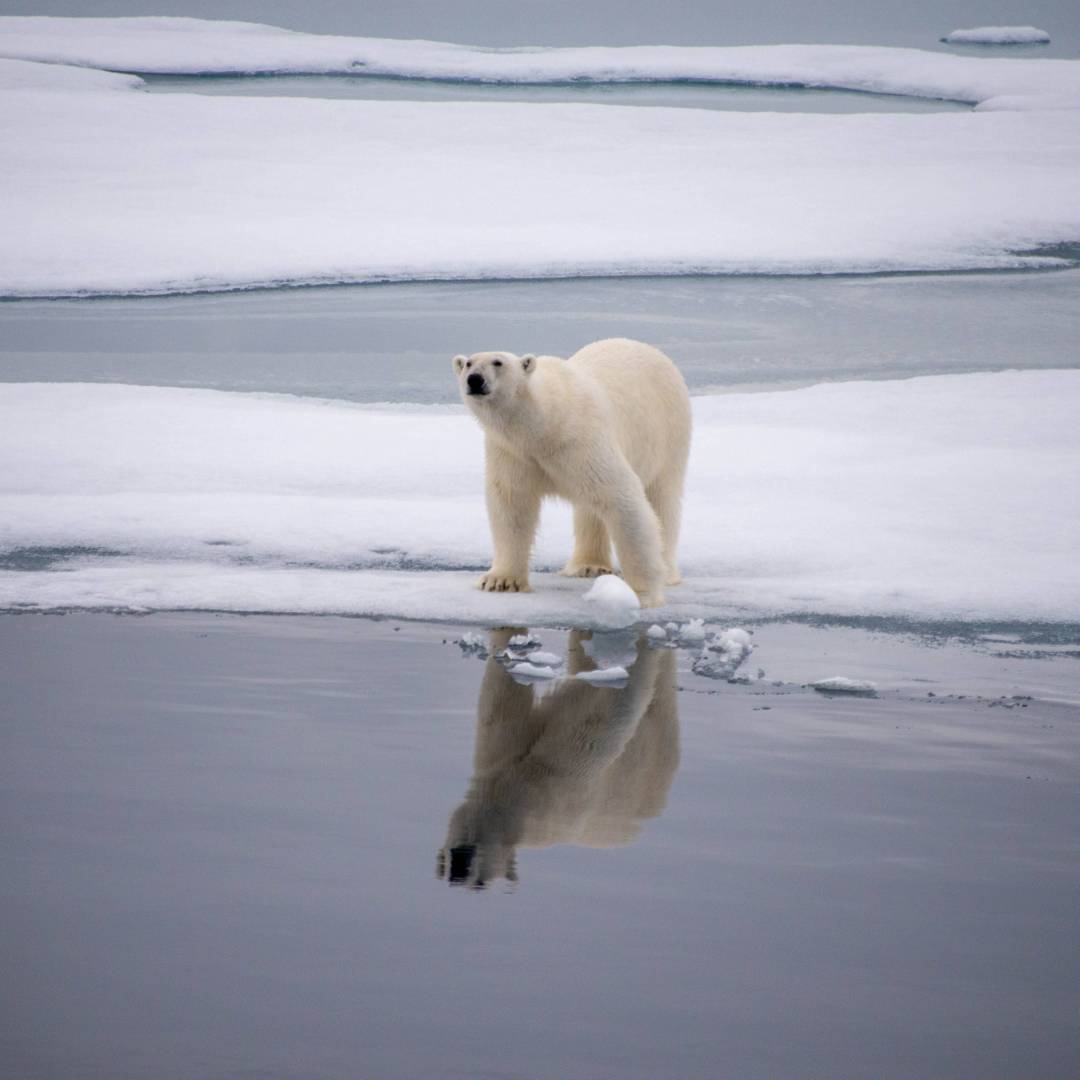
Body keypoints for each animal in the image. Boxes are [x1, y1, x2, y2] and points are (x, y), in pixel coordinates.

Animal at [437, 628, 680, 889]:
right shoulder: (502, 754)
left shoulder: (565, 780)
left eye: (481, 882)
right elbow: (501, 704)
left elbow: (604, 708)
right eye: (447, 864)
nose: (459, 866)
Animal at [452, 337, 691, 608]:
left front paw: (640, 594)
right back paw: (587, 566)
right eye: (468, 363)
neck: (545, 426)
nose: (474, 379)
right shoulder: (513, 452)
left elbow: (622, 499)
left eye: (498, 362)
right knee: (590, 509)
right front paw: (500, 581)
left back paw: (668, 572)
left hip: (669, 432)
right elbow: (512, 504)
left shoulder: (581, 440)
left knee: (662, 498)